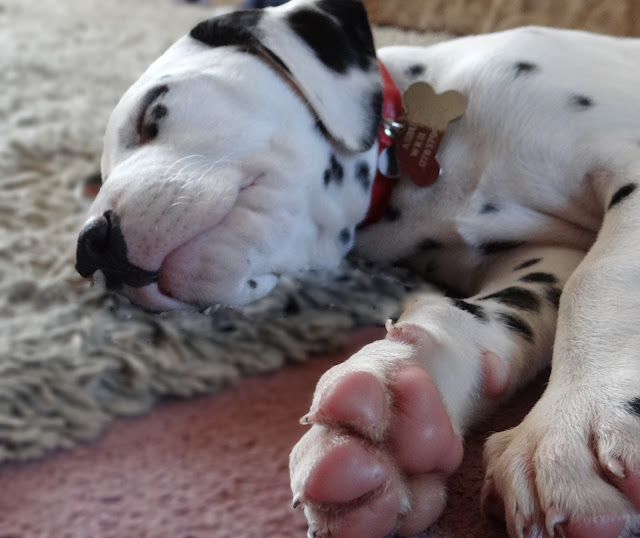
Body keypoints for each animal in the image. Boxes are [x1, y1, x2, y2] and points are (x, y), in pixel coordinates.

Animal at [77, 0, 640, 532]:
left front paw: (573, 428)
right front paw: (402, 394)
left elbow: (599, 280)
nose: (91, 250)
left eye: (152, 113)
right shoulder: (542, 256)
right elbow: (496, 307)